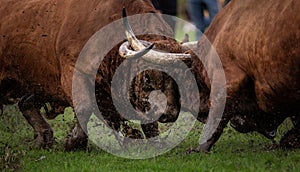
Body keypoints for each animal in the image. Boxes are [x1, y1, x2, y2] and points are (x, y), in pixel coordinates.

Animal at [0, 0, 190, 150]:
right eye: (147, 78)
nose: (170, 114)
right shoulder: (73, 71)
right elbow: (84, 107)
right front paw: (74, 141)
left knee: (25, 102)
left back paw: (43, 135)